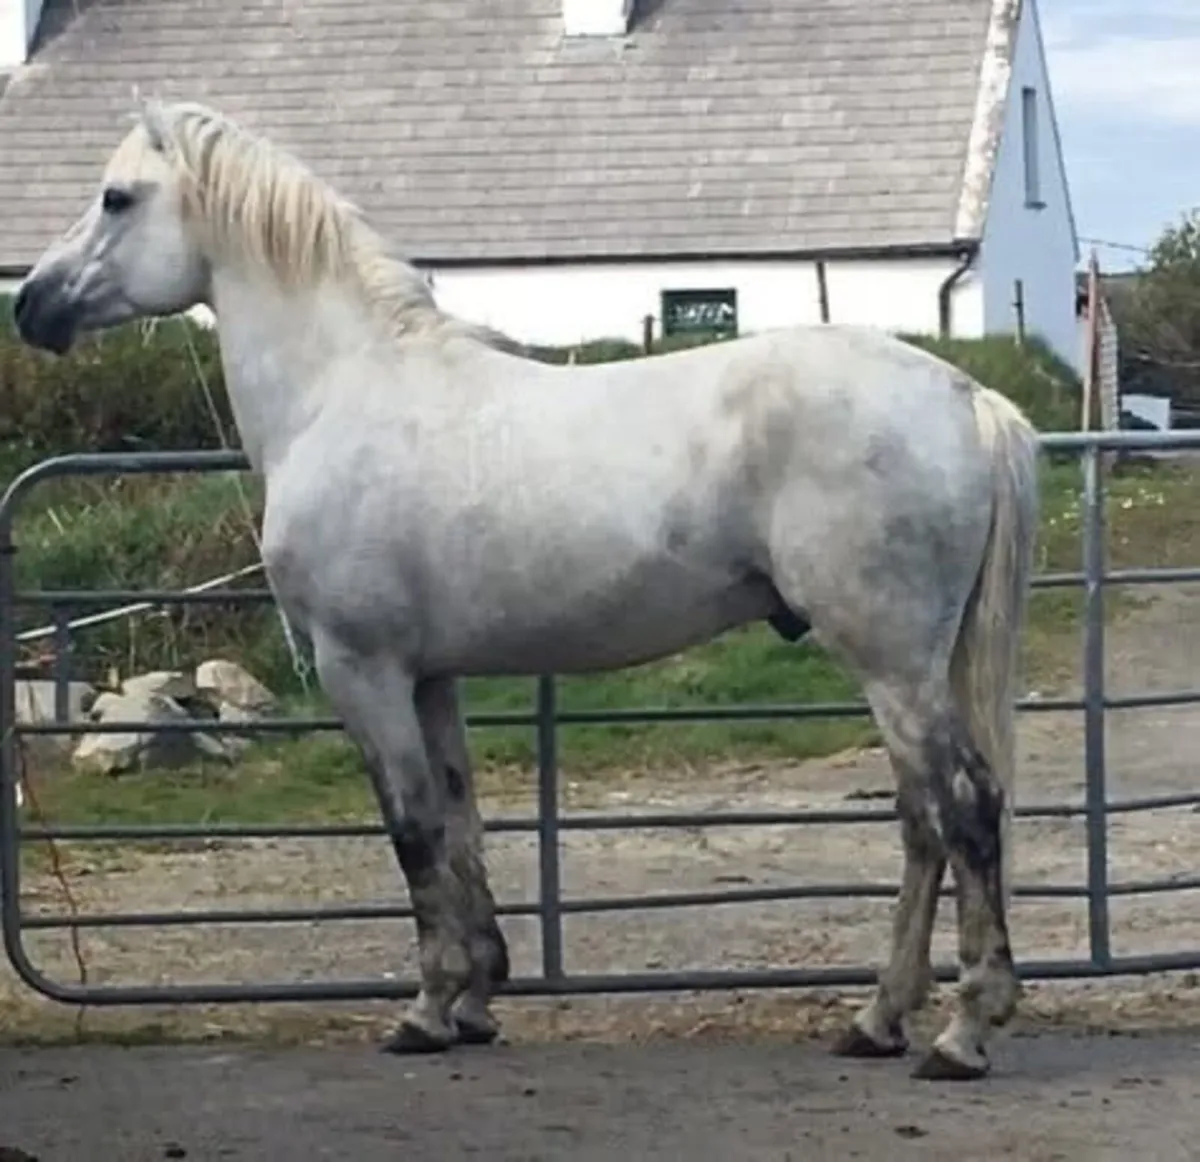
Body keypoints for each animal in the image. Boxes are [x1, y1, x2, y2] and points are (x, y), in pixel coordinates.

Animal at [12, 96, 1040, 1082]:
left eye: (116, 198)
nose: (31, 306)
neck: (342, 389)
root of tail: (964, 398)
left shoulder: (363, 671)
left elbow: (412, 830)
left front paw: (426, 1013)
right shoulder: (431, 678)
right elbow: (459, 820)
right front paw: (475, 1000)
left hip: (891, 661)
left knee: (963, 807)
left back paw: (962, 1033)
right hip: (911, 667)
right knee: (922, 823)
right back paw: (877, 1021)